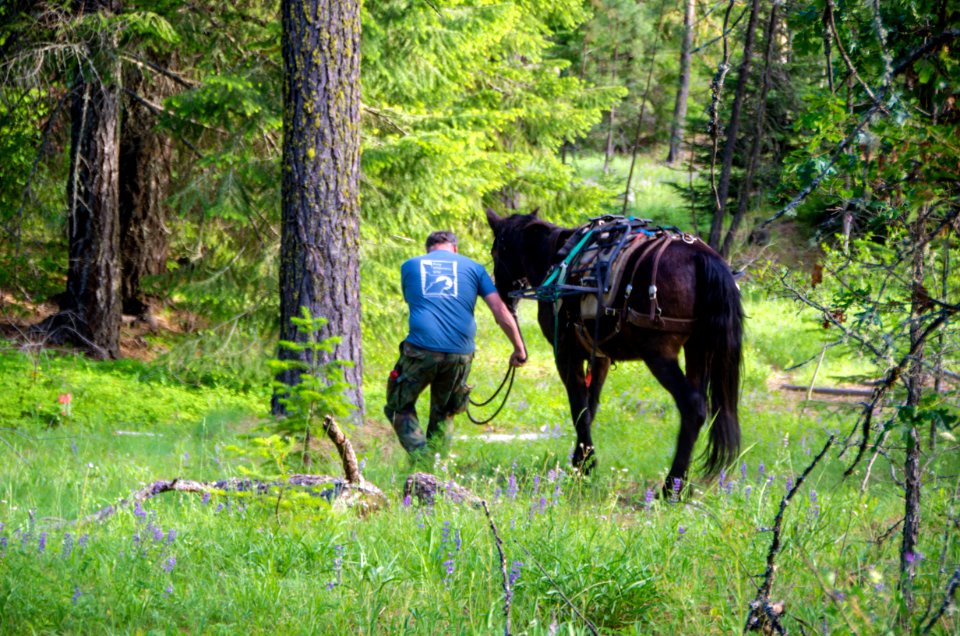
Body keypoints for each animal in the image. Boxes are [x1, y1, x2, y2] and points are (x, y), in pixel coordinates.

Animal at [488, 209, 744, 486]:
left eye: (495, 252)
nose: (501, 295)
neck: (555, 260)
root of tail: (701, 256)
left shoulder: (565, 353)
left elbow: (578, 407)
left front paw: (583, 465)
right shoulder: (600, 357)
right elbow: (590, 407)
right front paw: (582, 461)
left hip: (659, 355)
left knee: (692, 406)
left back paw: (671, 485)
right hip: (697, 350)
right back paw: (681, 484)